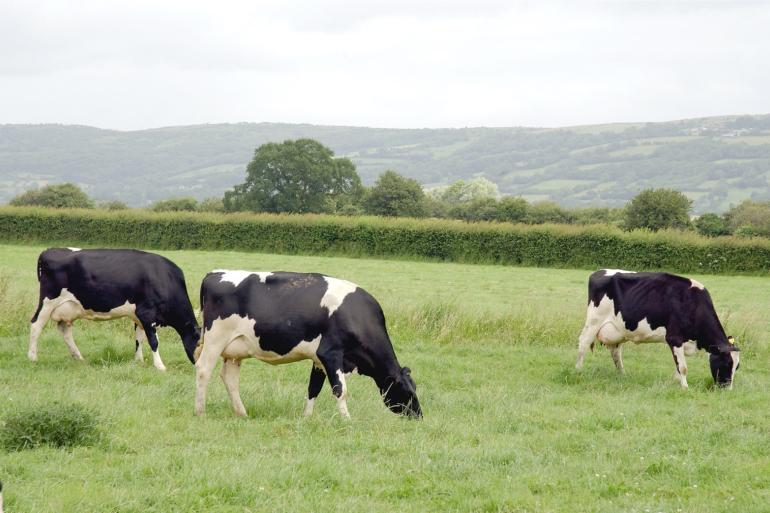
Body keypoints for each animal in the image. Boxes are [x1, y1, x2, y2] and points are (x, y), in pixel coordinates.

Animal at [29, 248, 200, 368]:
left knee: (64, 330)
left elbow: (139, 339)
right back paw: (32, 357)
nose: (199, 365)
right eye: (199, 343)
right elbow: (153, 341)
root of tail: (49, 250)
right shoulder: (146, 312)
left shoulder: (138, 316)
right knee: (36, 325)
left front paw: (139, 361)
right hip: (48, 301)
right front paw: (160, 366)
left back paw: (79, 357)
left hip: (67, 307)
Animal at [192, 270, 420, 418]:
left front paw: (307, 418)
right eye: (408, 392)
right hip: (215, 339)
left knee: (229, 378)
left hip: (235, 349)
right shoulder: (330, 353)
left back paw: (242, 413)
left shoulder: (319, 359)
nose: (419, 416)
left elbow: (313, 388)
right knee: (203, 369)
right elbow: (340, 390)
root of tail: (214, 273)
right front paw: (347, 420)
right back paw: (200, 412)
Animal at [572, 270, 740, 386]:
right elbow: (683, 367)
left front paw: (675, 382)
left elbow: (678, 366)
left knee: (615, 353)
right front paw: (685, 387)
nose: (726, 388)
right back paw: (578, 370)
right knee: (583, 343)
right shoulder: (674, 338)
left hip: (618, 331)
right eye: (726, 363)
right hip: (594, 321)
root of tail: (599, 272)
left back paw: (622, 375)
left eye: (737, 367)